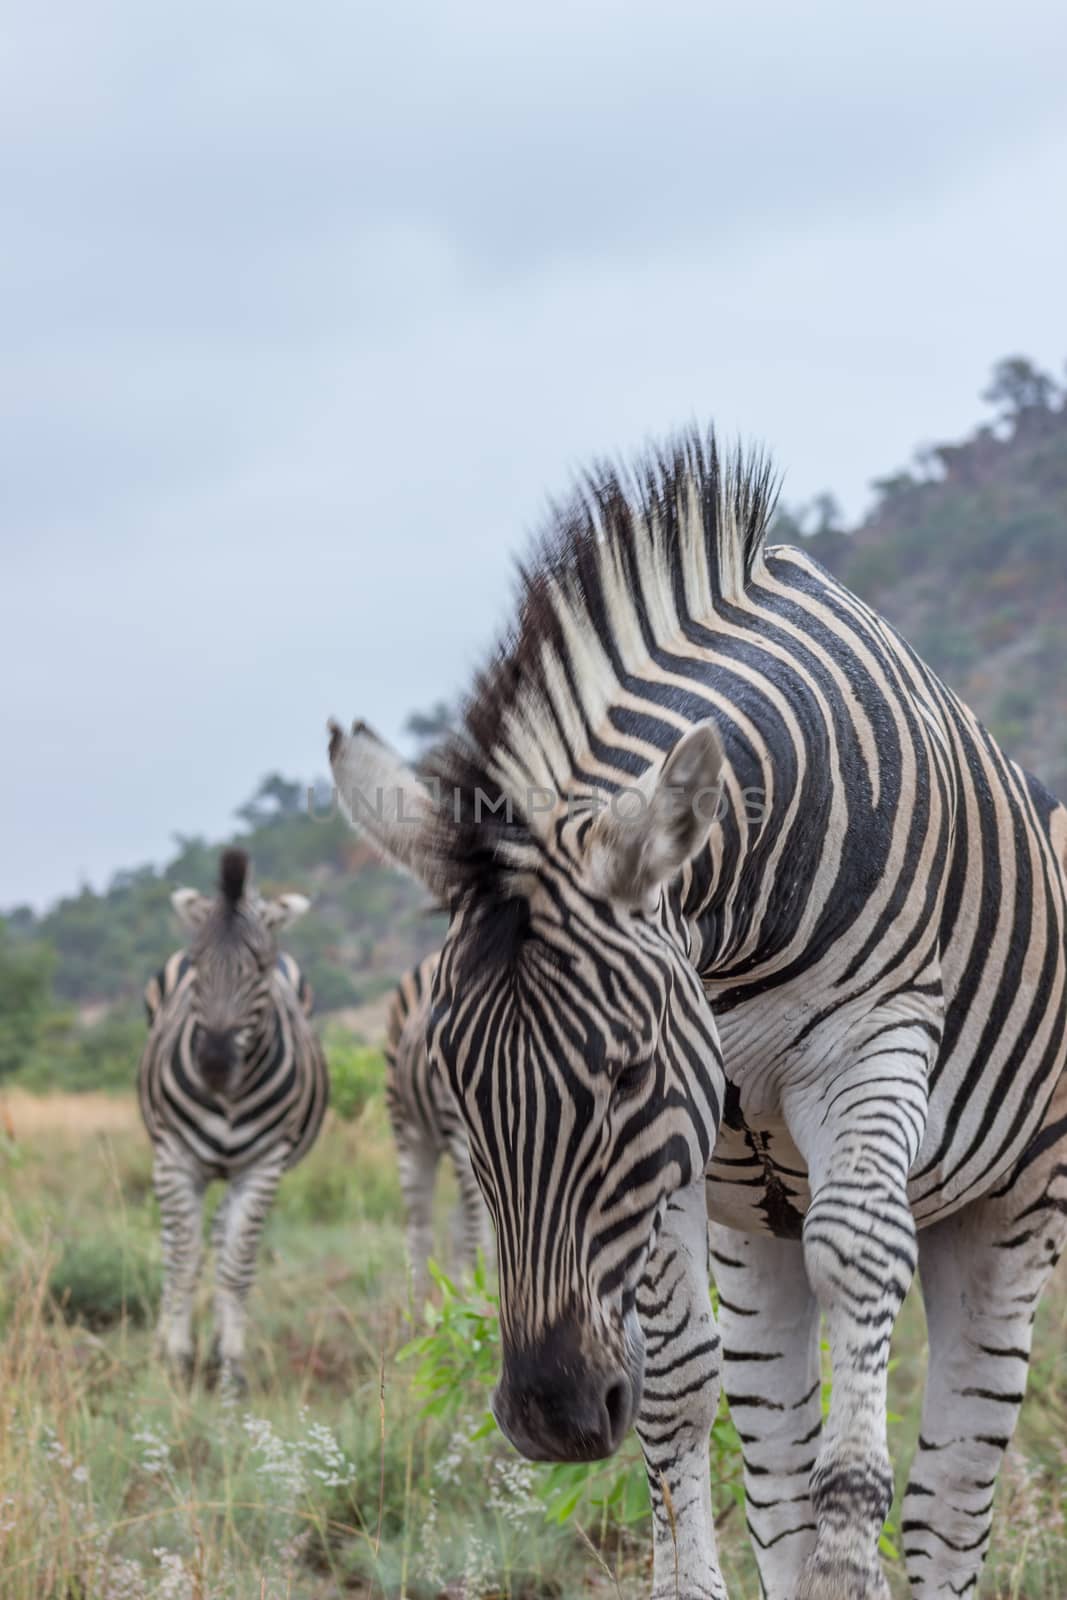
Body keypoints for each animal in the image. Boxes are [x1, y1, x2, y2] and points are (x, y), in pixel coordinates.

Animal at [139, 851, 327, 1388]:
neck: (229, 1098)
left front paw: (231, 1368)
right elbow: (183, 1261)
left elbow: (236, 1267)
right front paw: (176, 1359)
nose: (215, 1065)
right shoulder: (175, 1158)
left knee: (224, 1237)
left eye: (260, 968)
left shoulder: (262, 1166)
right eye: (199, 963)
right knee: (174, 1246)